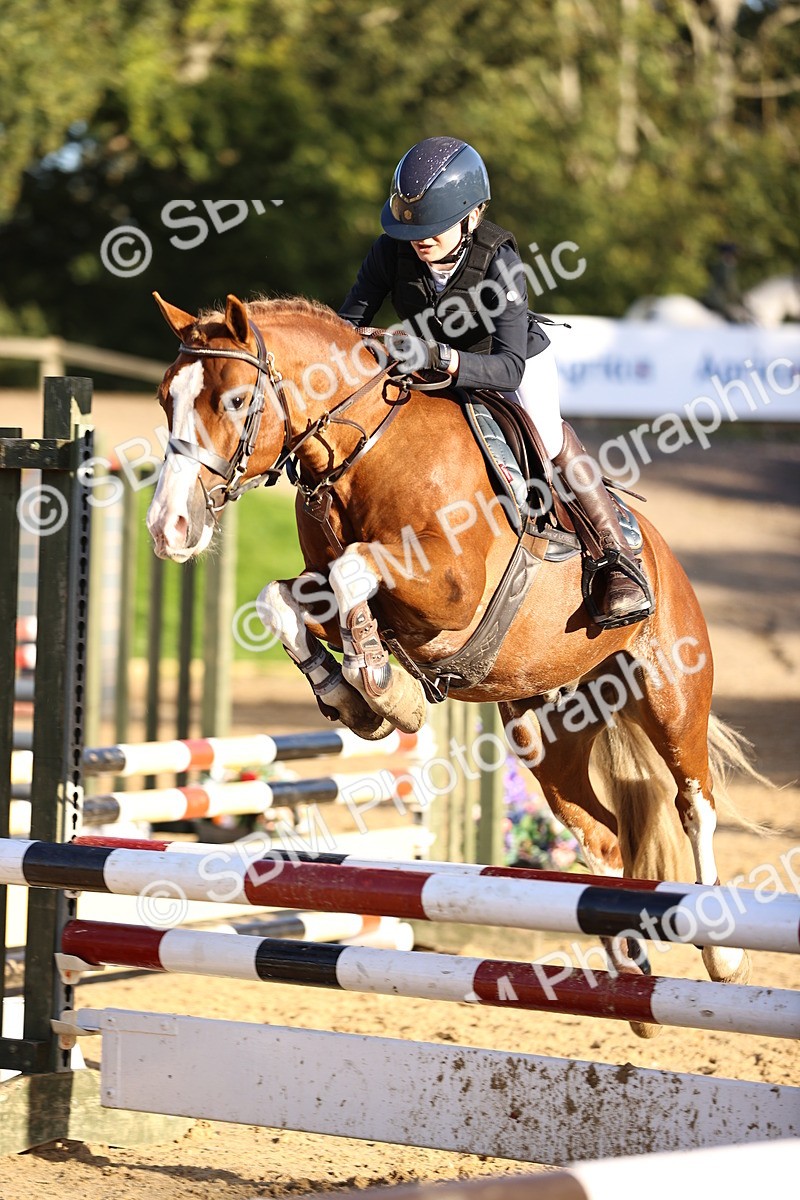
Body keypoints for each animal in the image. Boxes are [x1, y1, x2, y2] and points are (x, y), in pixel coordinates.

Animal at [147, 291, 762, 1036]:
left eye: (235, 400)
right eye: (164, 397)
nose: (169, 529)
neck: (363, 450)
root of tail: (667, 563)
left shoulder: (448, 590)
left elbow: (354, 572)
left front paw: (386, 692)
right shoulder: (338, 590)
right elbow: (282, 599)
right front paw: (357, 698)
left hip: (672, 694)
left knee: (694, 805)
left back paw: (721, 954)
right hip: (544, 736)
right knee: (605, 837)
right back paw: (631, 979)